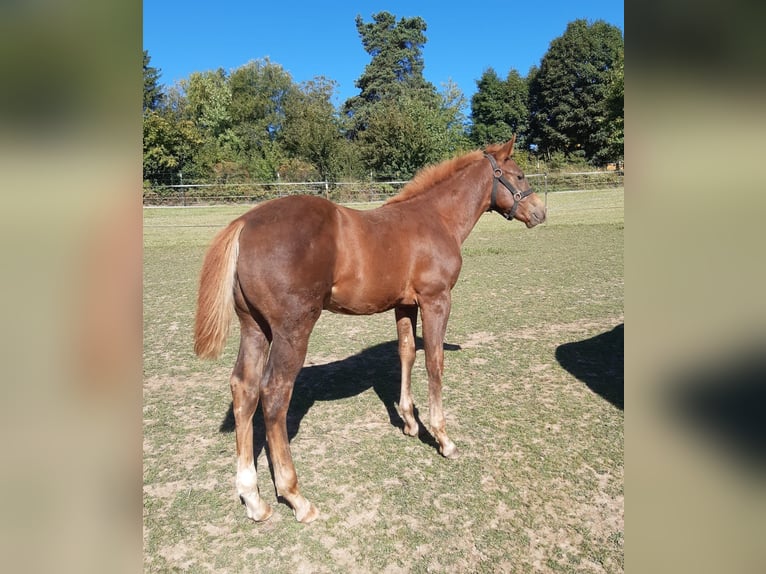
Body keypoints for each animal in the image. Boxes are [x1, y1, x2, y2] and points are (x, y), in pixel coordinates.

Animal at [194, 136, 546, 524]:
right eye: (519, 174)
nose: (541, 213)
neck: (437, 219)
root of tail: (245, 222)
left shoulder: (405, 304)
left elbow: (406, 353)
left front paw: (409, 422)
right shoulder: (436, 300)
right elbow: (434, 362)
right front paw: (443, 438)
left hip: (255, 328)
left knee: (244, 389)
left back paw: (254, 499)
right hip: (292, 330)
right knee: (273, 394)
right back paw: (296, 497)